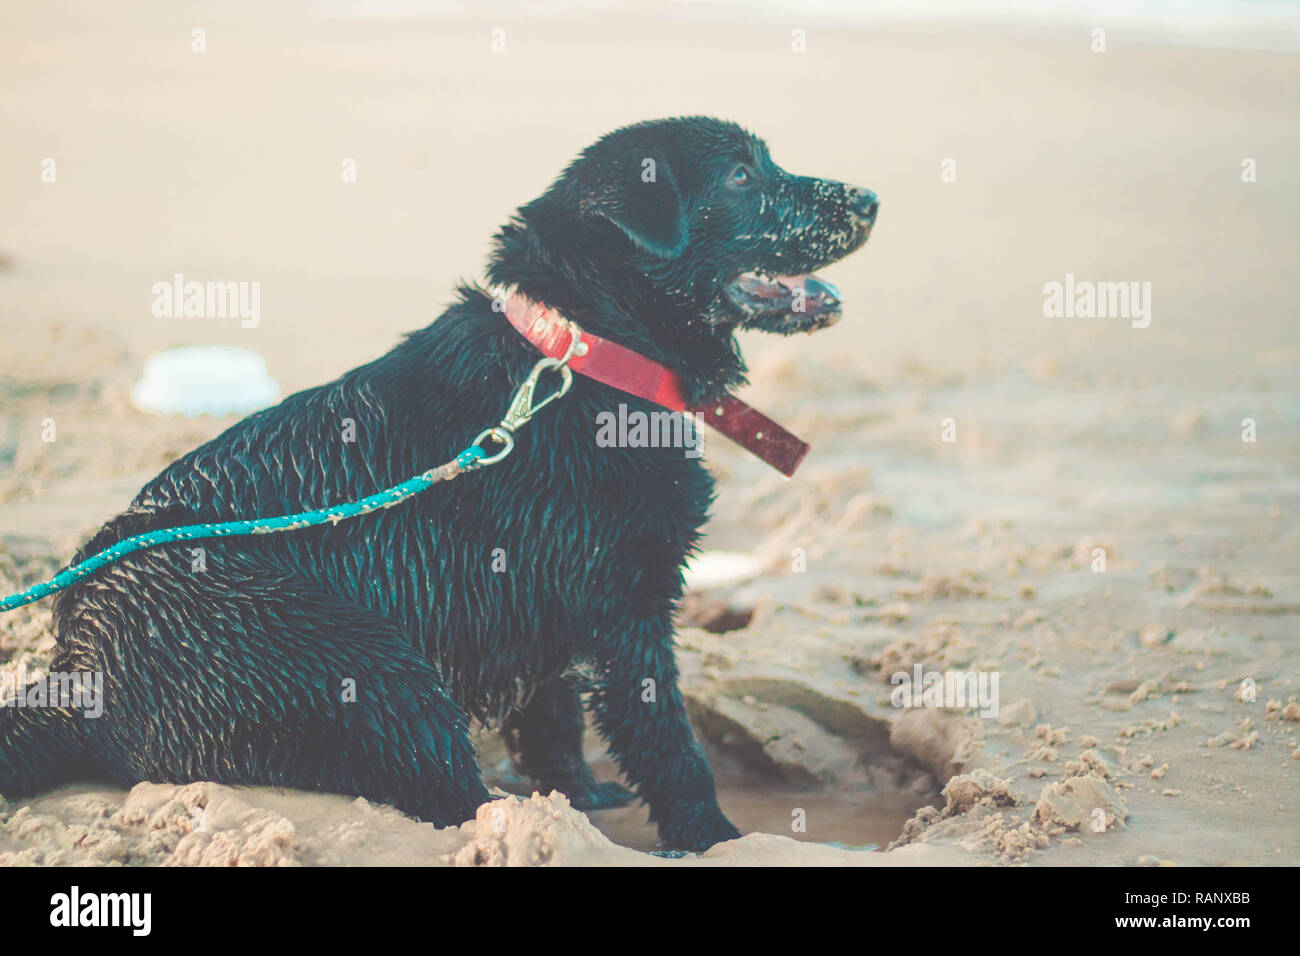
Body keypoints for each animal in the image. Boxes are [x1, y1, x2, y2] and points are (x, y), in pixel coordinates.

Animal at [2, 115, 873, 848]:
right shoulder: (627, 610)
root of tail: (77, 677)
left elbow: (553, 718)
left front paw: (579, 801)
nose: (869, 197)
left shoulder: (545, 602)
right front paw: (715, 840)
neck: (582, 351)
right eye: (741, 176)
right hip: (373, 670)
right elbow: (668, 747)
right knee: (451, 793)